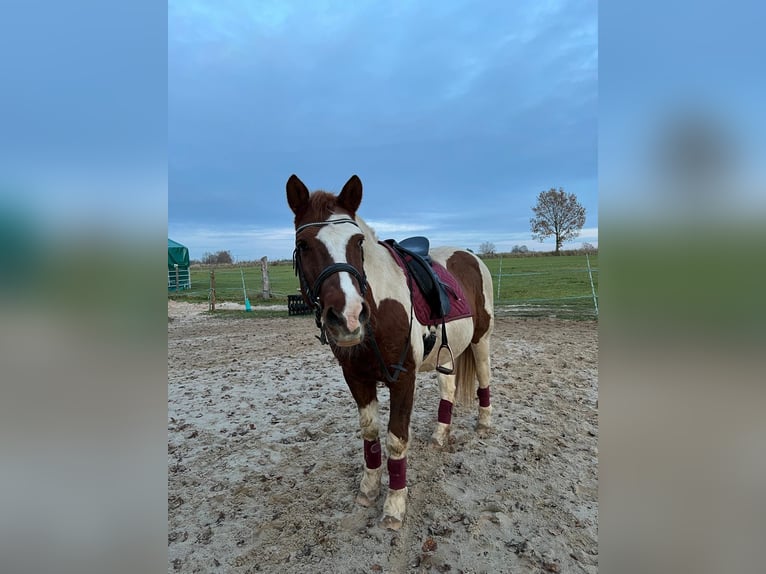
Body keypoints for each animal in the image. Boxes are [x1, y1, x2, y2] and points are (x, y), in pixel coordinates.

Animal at [288, 174, 498, 532]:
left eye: (358, 242)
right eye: (303, 245)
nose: (348, 316)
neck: (378, 310)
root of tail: (470, 255)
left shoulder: (403, 379)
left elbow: (396, 439)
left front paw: (394, 507)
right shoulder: (356, 379)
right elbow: (370, 435)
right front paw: (368, 490)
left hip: (480, 340)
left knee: (484, 377)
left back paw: (483, 423)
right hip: (447, 352)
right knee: (449, 389)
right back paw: (440, 435)